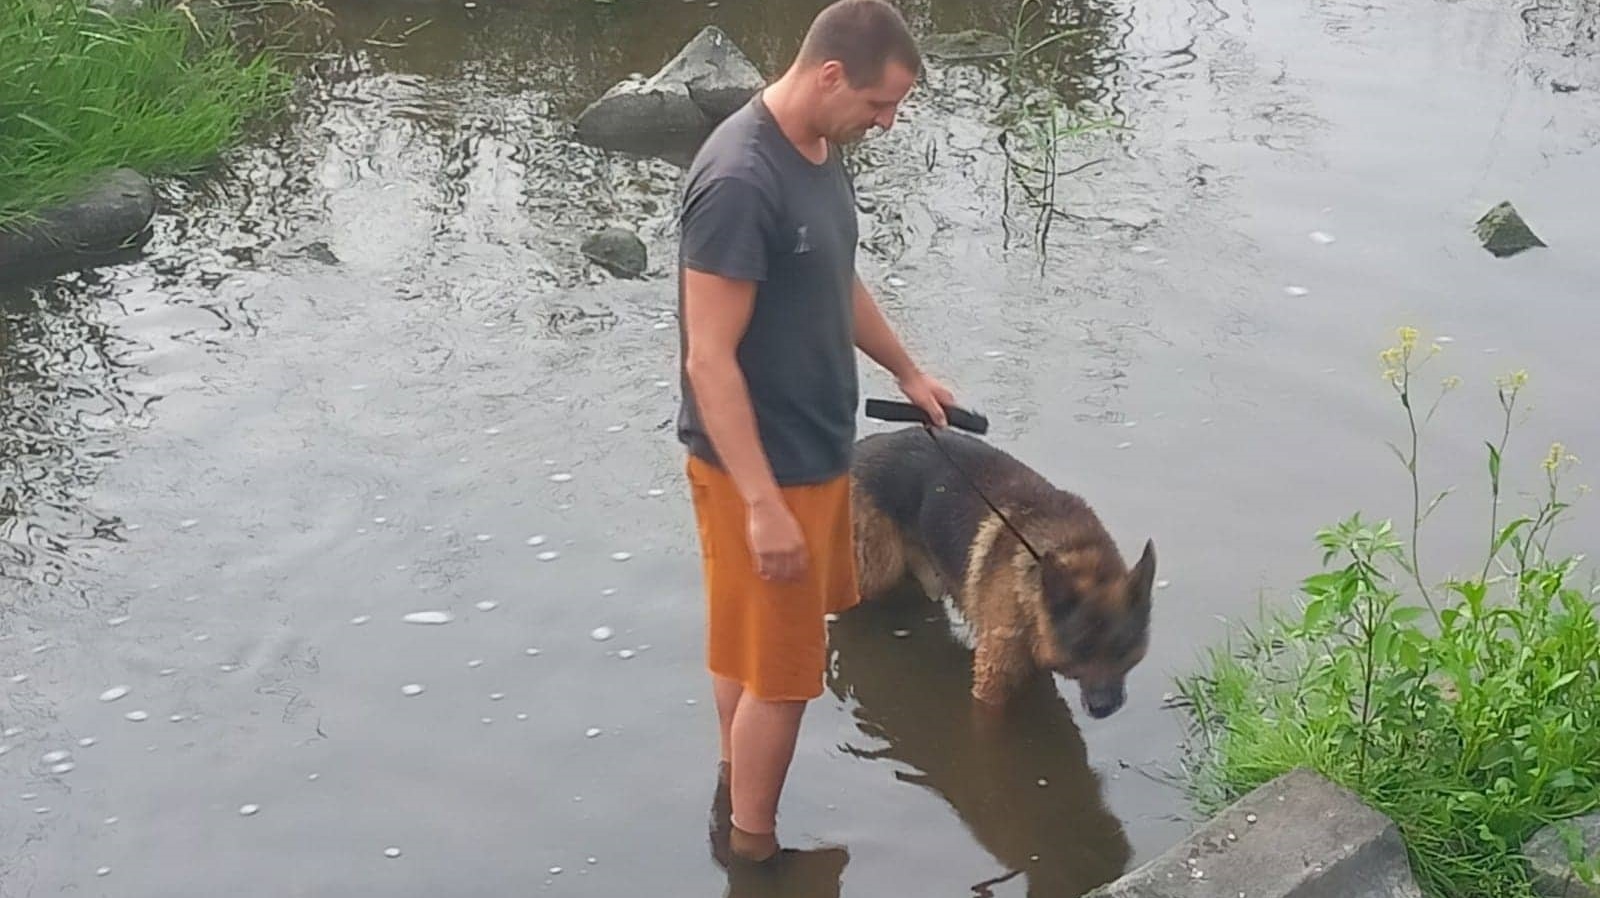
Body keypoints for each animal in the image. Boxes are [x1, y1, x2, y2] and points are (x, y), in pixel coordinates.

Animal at [851, 422, 1164, 717]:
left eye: (1122, 649)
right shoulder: (992, 684)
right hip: (880, 572)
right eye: (1080, 649)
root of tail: (862, 447)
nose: (1104, 708)